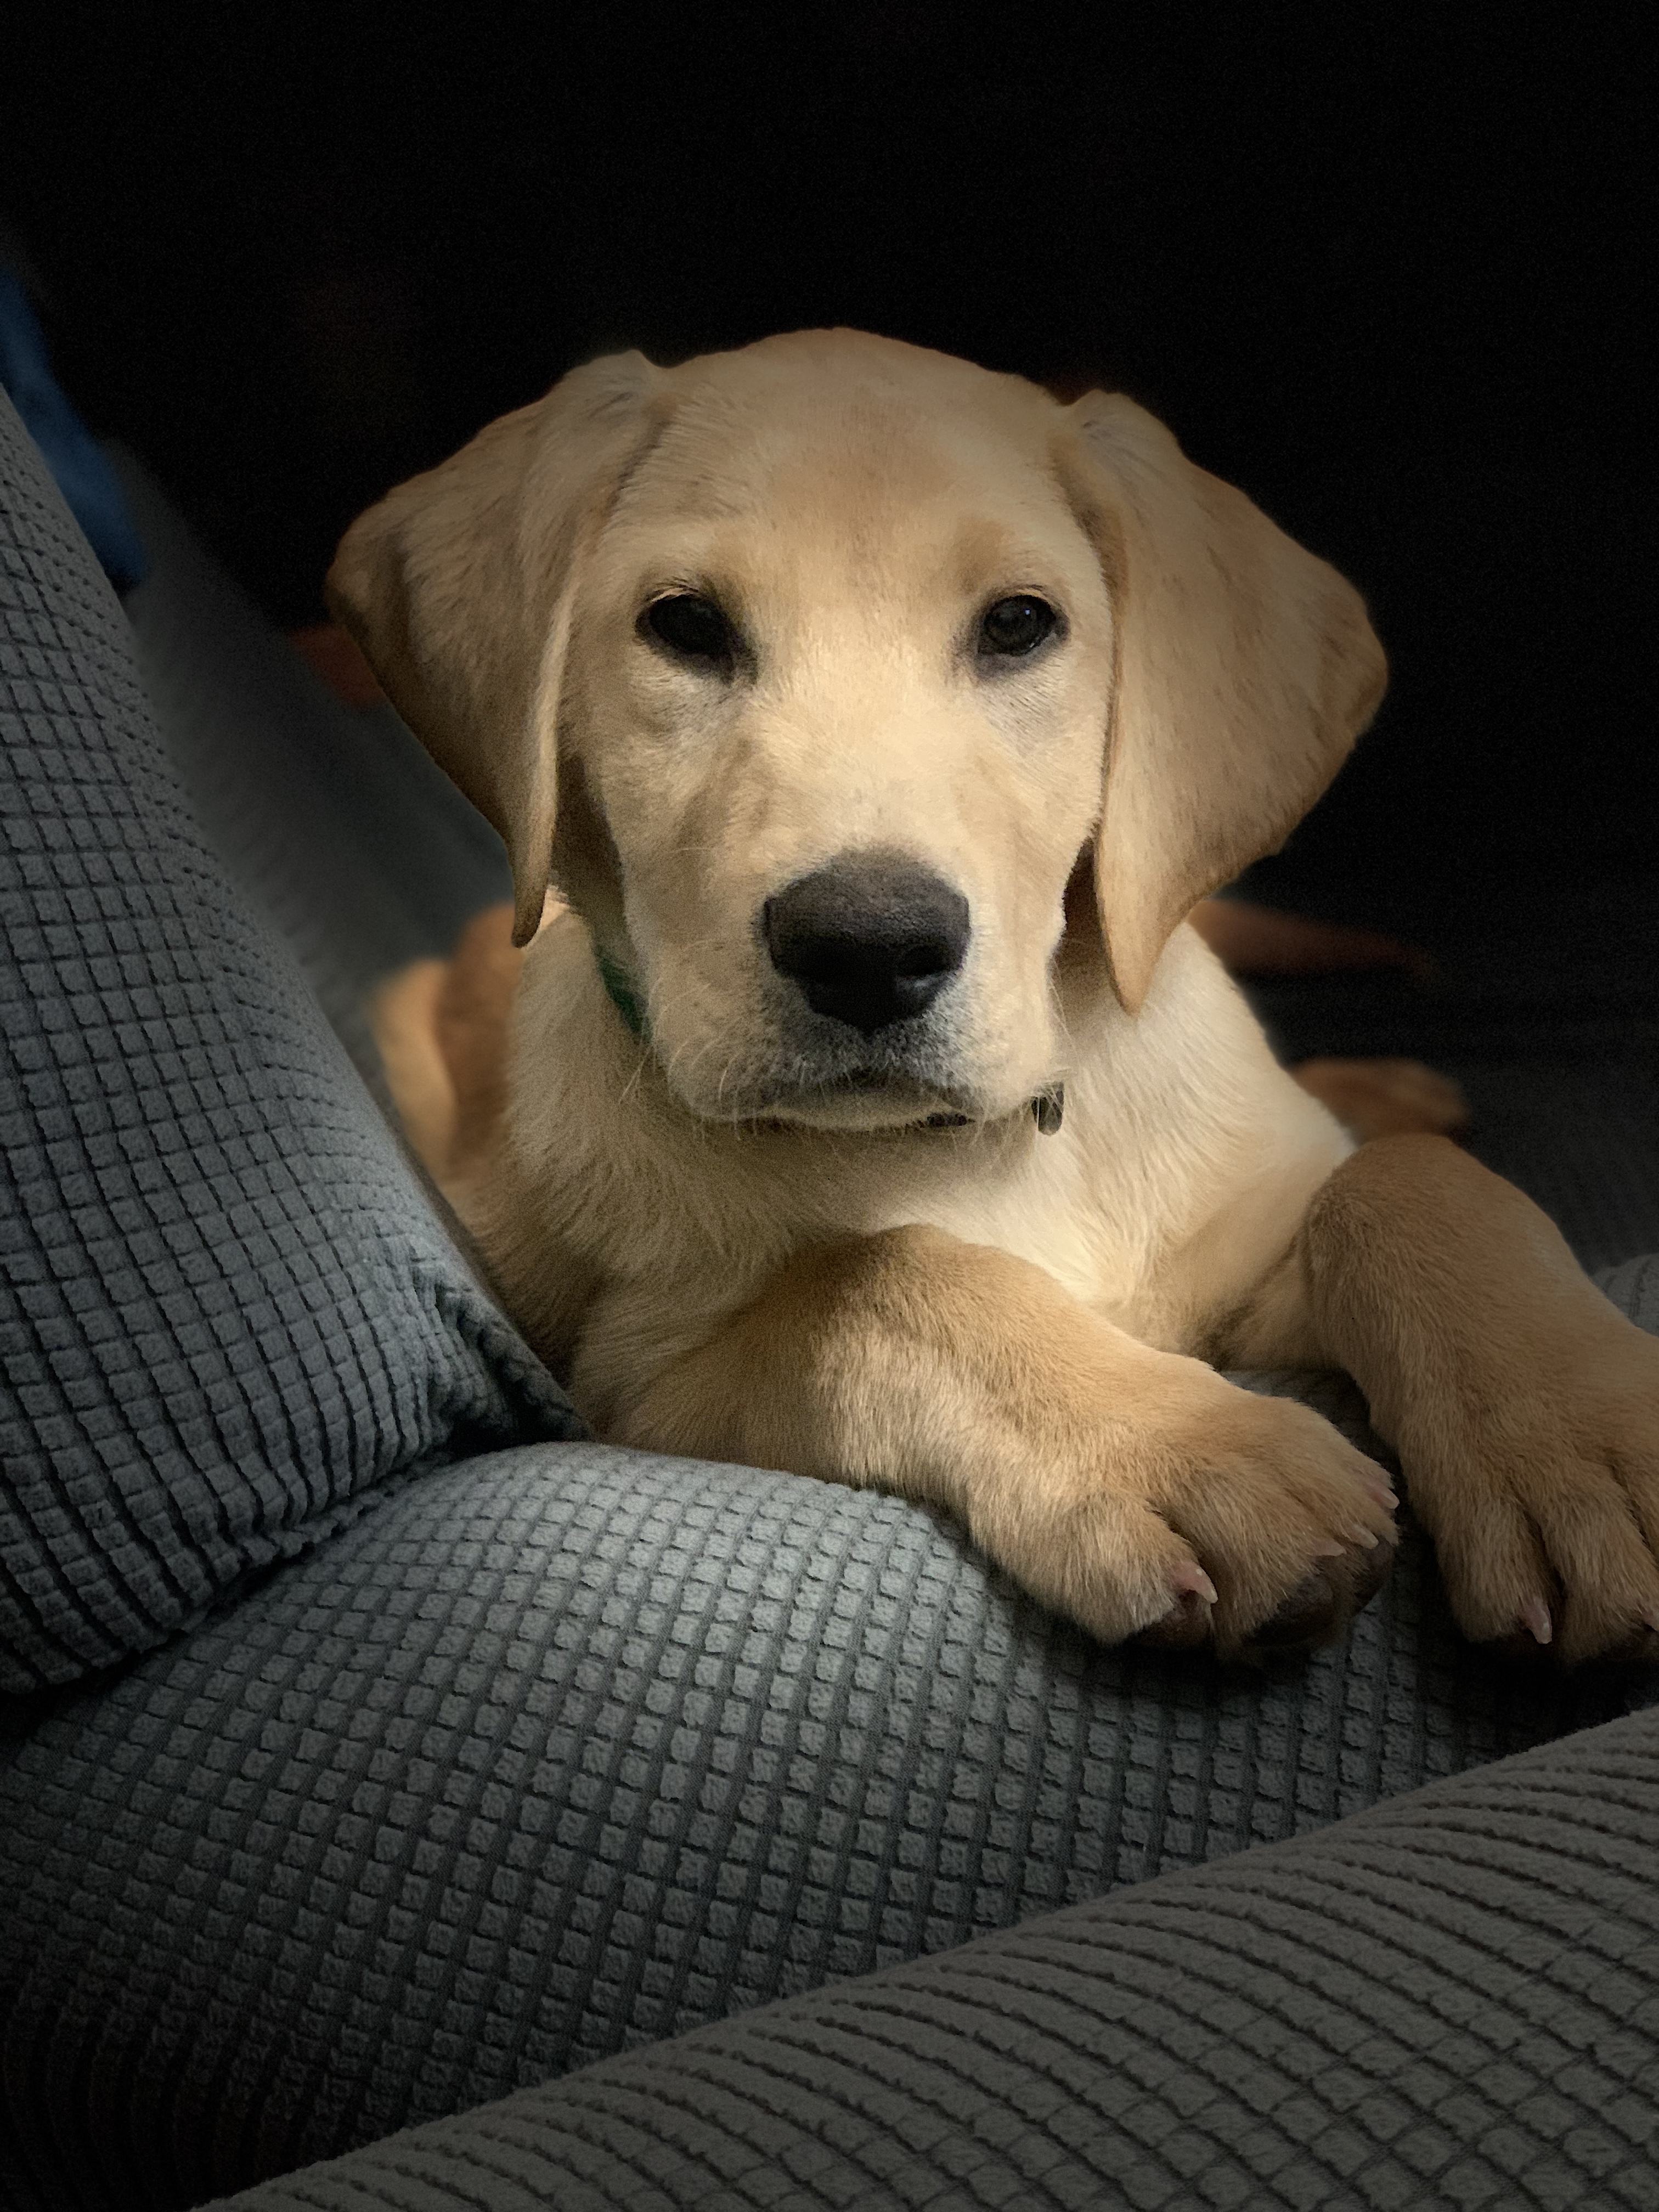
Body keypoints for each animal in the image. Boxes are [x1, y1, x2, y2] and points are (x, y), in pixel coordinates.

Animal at [331, 331, 1659, 1663]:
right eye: (685, 627)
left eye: (1020, 625)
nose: (867, 946)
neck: (993, 1143)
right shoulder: (633, 1393)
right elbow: (877, 1275)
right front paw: (1188, 1449)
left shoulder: (1246, 1258)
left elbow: (1401, 1187)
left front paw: (1581, 1439)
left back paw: (1392, 1089)